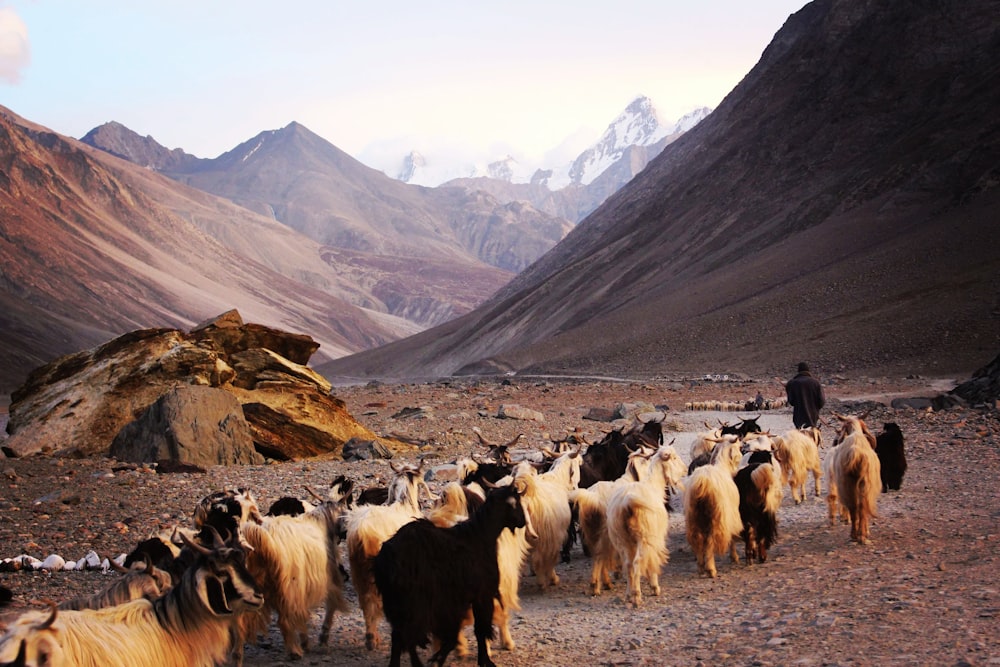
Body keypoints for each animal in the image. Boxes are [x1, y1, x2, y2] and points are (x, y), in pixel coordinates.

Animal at [372, 482, 536, 667]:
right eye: (517, 502)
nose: (522, 522)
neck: (479, 537)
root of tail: (386, 556)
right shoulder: (481, 595)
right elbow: (480, 629)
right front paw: (483, 660)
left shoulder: (457, 602)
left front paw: (441, 657)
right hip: (413, 603)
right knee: (407, 635)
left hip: (396, 603)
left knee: (399, 636)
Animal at [600, 440, 688, 608]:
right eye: (673, 457)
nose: (685, 469)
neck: (653, 485)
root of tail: (628, 502)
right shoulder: (656, 538)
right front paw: (655, 587)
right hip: (645, 537)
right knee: (637, 562)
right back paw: (636, 597)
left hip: (623, 538)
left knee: (628, 564)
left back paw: (629, 594)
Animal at [824, 414, 880, 544]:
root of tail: (856, 453)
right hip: (861, 484)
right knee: (860, 507)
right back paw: (860, 534)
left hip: (846, 483)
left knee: (854, 506)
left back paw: (855, 533)